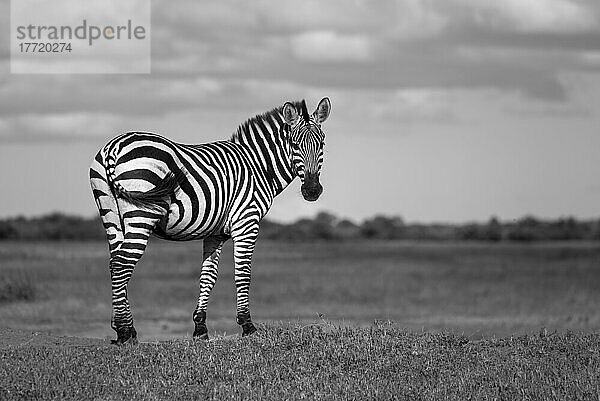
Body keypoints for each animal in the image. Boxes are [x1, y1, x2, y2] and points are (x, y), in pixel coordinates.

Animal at [91, 97, 330, 344]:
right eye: (294, 144)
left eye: (322, 144)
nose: (312, 191)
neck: (258, 167)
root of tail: (113, 147)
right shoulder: (247, 221)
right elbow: (243, 274)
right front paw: (248, 327)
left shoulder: (216, 232)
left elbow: (208, 276)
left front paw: (200, 329)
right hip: (141, 214)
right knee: (123, 263)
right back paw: (125, 332)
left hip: (110, 213)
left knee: (114, 262)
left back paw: (124, 328)